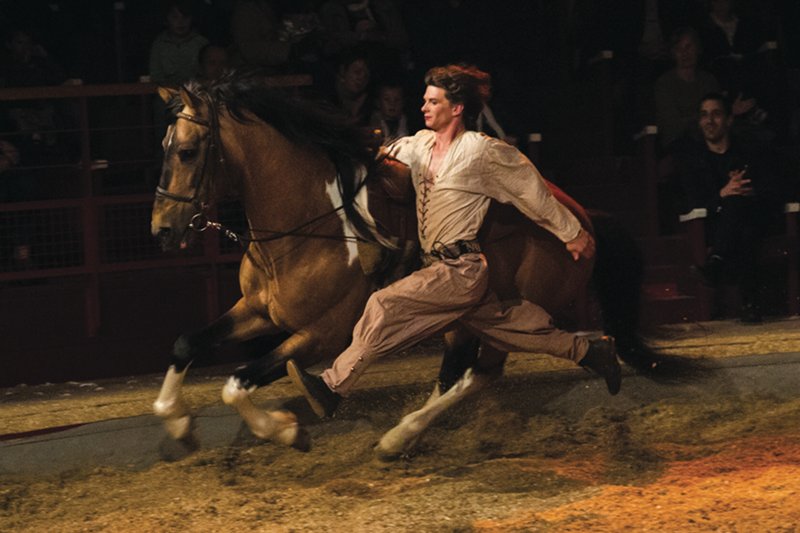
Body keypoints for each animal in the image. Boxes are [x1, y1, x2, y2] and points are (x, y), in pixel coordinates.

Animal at [150, 75, 668, 458]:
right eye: (164, 146)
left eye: (188, 151)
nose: (162, 228)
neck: (310, 226)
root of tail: (583, 218)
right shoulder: (258, 311)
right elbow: (185, 343)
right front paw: (178, 424)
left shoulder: (322, 334)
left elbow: (238, 383)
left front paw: (286, 430)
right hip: (475, 319)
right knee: (464, 374)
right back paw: (401, 437)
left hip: (498, 316)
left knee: (479, 373)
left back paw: (399, 436)